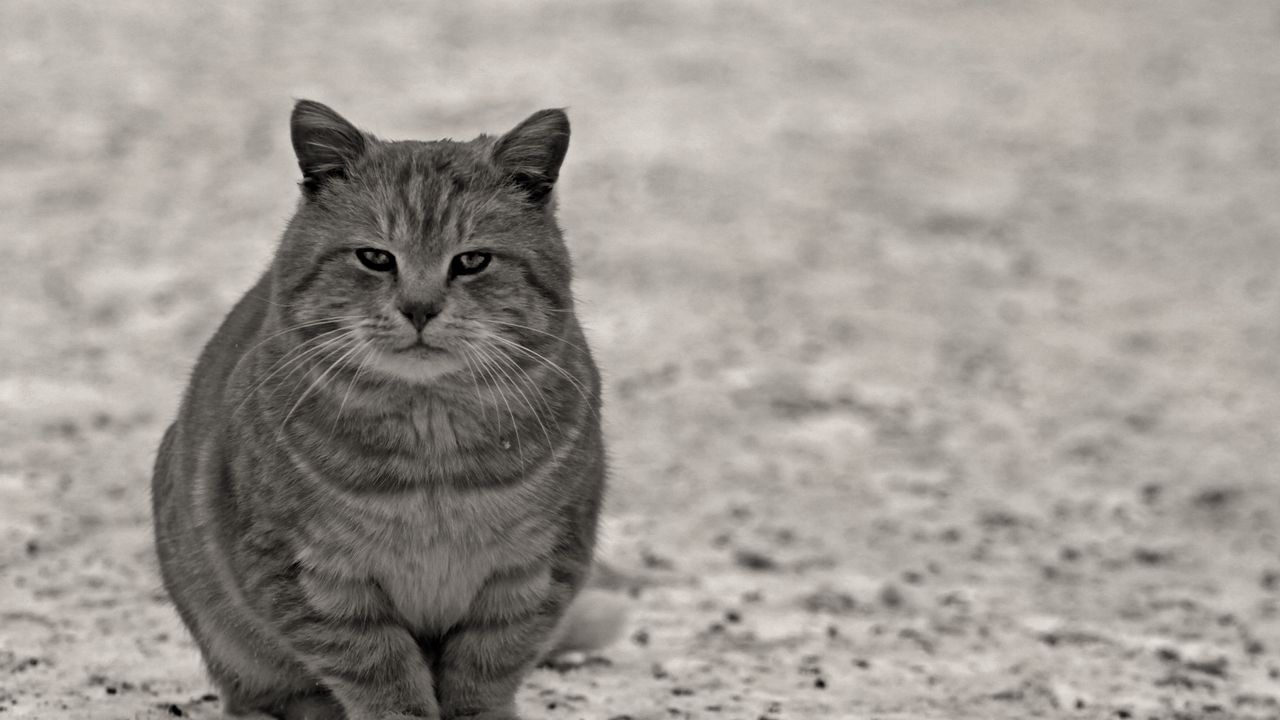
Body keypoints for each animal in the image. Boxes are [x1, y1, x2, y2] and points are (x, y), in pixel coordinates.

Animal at [152, 101, 622, 717]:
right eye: (375, 258)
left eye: (472, 261)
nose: (419, 308)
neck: (433, 458)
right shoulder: (315, 576)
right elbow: (382, 673)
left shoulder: (534, 571)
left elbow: (485, 670)